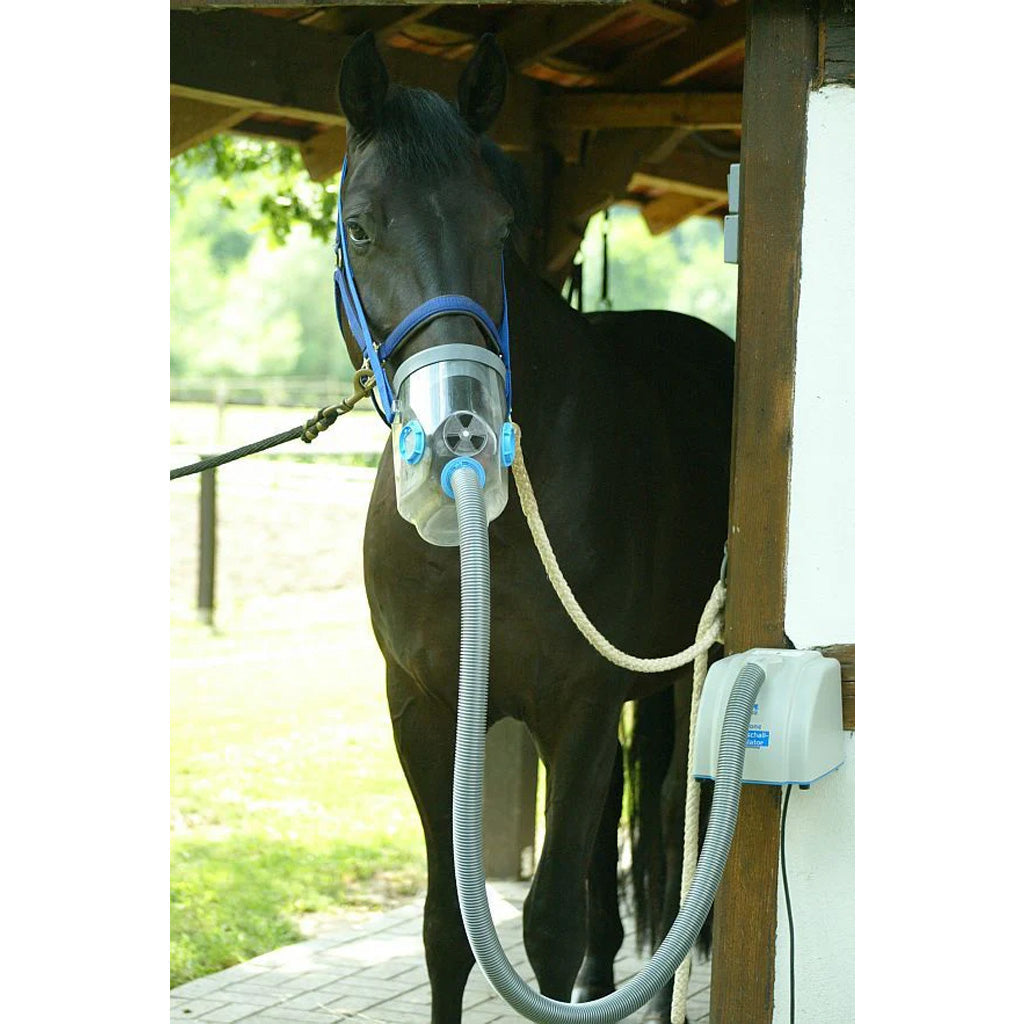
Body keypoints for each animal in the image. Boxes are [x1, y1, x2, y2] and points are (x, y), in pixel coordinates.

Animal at [333, 32, 734, 1024]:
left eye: (500, 230)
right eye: (360, 227)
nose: (460, 431)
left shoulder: (579, 707)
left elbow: (547, 927)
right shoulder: (425, 711)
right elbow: (448, 926)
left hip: (677, 681)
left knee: (669, 831)